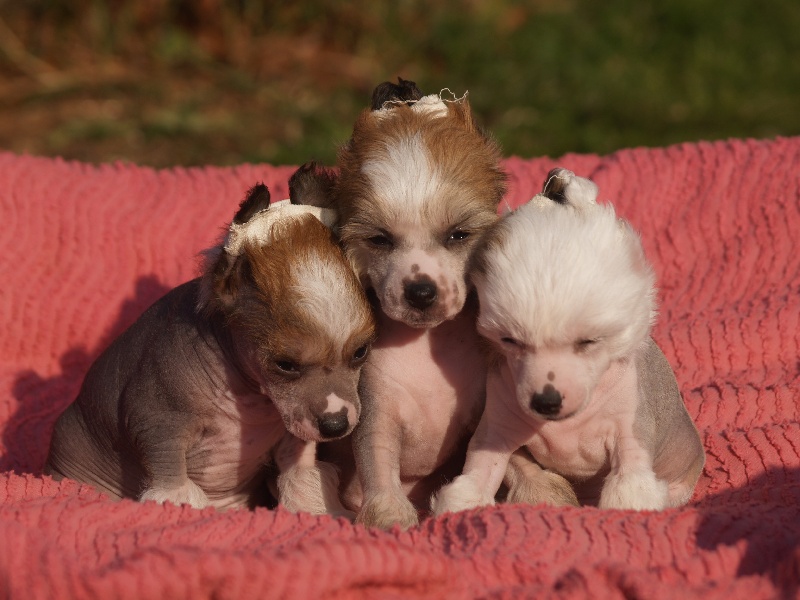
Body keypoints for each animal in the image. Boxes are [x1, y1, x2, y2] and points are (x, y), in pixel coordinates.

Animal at [45, 175, 376, 516]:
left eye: (361, 352)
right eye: (285, 365)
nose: (336, 425)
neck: (252, 397)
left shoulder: (293, 435)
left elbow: (300, 473)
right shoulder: (155, 421)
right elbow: (170, 476)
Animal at [434, 166, 704, 512]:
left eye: (589, 342)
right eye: (509, 340)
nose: (546, 402)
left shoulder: (629, 430)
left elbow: (630, 486)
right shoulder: (496, 431)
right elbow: (479, 474)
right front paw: (462, 503)